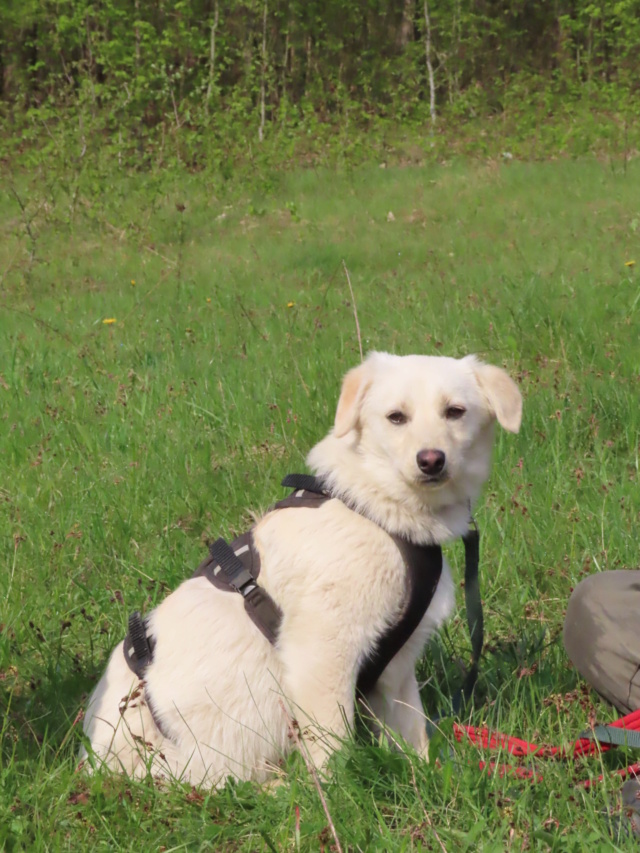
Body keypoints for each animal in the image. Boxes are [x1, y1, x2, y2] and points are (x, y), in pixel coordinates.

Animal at [81, 352, 520, 784]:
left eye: (455, 411)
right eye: (396, 417)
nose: (431, 461)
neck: (377, 509)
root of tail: (95, 761)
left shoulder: (394, 669)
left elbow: (412, 737)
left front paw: (424, 778)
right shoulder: (323, 654)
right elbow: (333, 750)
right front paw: (336, 799)